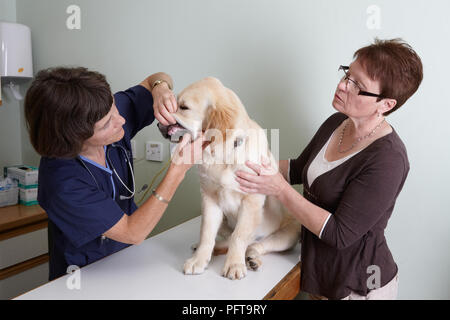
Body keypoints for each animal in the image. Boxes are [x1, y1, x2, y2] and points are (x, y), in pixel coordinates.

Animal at [156, 77, 300, 280]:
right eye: (174, 103)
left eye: (183, 107)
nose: (158, 123)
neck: (223, 154)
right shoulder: (209, 199)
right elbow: (206, 234)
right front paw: (199, 260)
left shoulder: (251, 199)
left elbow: (239, 236)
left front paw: (234, 265)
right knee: (225, 240)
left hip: (290, 232)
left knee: (255, 244)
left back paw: (252, 259)